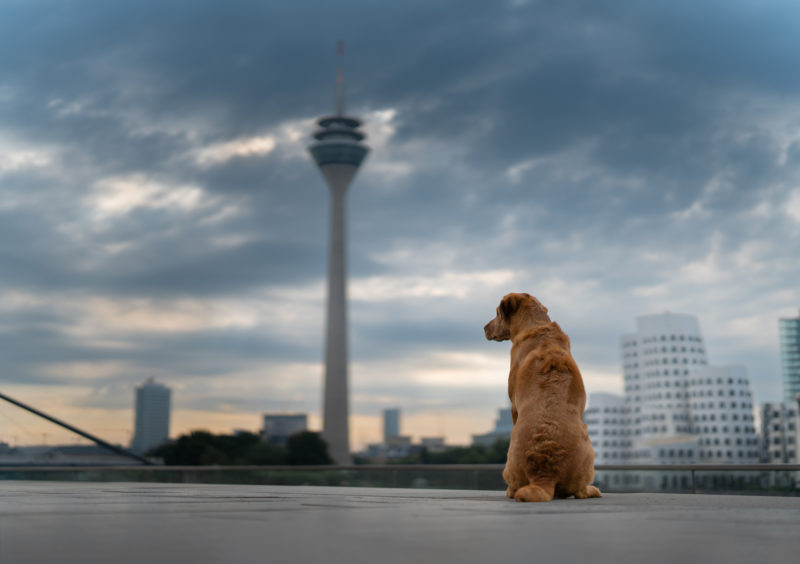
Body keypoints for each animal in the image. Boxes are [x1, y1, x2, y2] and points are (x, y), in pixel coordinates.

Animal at [482, 294, 600, 500]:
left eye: (496, 313)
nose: (484, 328)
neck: (537, 326)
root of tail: (544, 472)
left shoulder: (513, 406)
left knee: (579, 491)